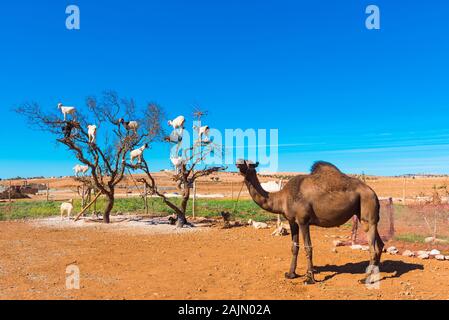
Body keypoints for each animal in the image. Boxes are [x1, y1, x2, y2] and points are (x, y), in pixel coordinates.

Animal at [236, 159, 384, 284]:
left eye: (249, 163)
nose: (237, 162)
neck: (282, 198)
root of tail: (373, 192)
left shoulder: (303, 221)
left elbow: (308, 247)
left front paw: (309, 278)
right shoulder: (292, 222)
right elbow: (294, 247)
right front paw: (290, 274)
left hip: (367, 211)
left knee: (373, 247)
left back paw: (366, 279)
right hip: (368, 216)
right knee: (380, 244)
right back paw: (374, 276)